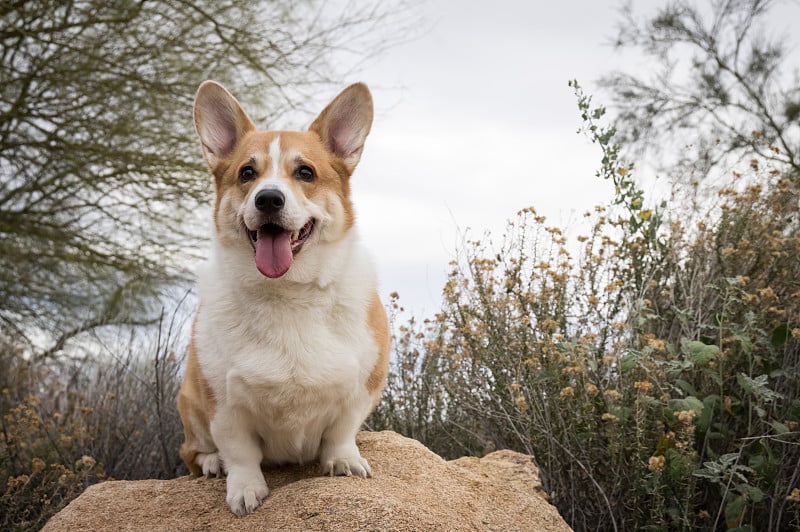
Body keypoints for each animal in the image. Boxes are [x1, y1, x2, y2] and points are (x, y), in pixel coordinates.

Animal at [180, 82, 392, 516]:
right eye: (247, 173)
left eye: (305, 172)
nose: (268, 200)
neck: (288, 292)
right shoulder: (223, 405)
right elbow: (240, 452)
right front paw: (244, 489)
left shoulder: (362, 388)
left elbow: (342, 432)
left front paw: (344, 461)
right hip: (188, 401)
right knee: (191, 452)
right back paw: (211, 463)